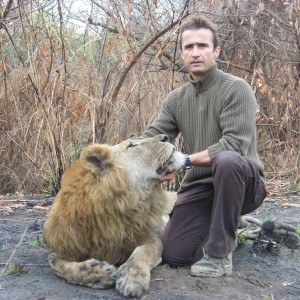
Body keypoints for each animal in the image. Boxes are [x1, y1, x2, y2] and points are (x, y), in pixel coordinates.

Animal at [43, 135, 185, 298]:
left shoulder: (150, 237)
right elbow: (57, 265)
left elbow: (141, 253)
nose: (166, 137)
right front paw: (99, 274)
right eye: (131, 145)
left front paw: (132, 278)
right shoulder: (65, 246)